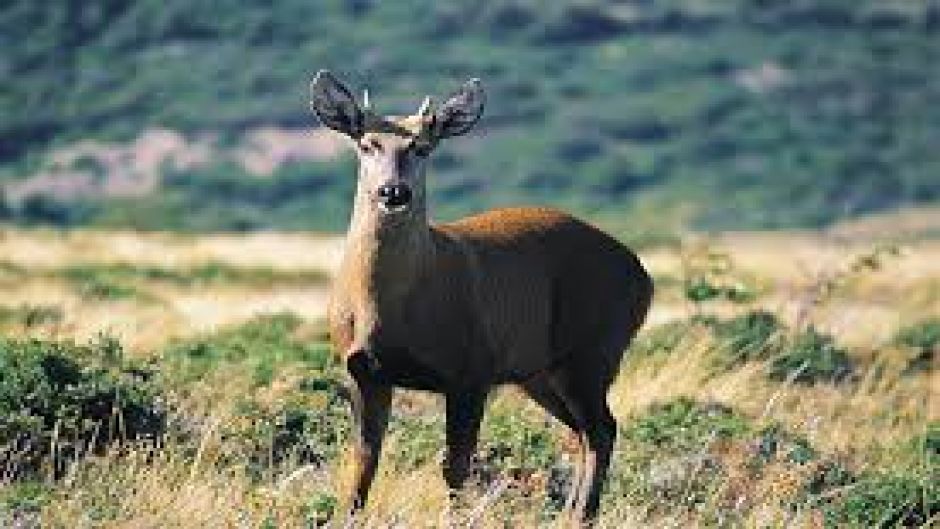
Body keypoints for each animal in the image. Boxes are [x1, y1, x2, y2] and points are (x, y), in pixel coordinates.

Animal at [308, 71, 652, 524]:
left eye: (422, 146)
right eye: (366, 143)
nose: (393, 191)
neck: (390, 312)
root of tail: (644, 277)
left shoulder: (470, 370)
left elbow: (454, 466)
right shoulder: (363, 372)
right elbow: (363, 461)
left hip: (594, 350)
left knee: (601, 428)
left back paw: (581, 515)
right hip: (540, 372)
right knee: (584, 431)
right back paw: (571, 512)